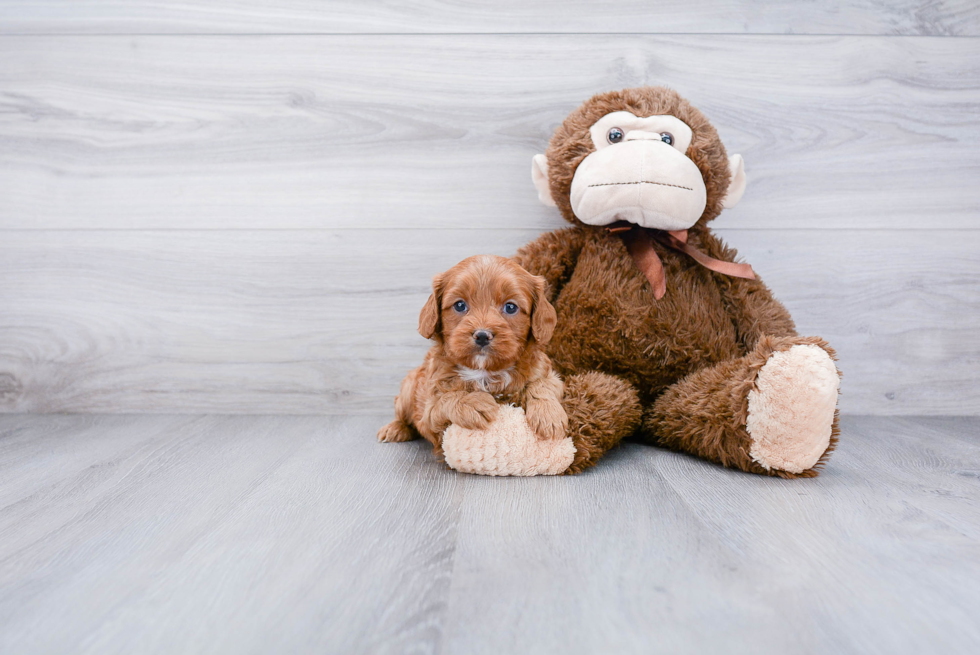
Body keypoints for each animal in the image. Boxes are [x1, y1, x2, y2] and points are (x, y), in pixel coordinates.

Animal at [378, 254, 572, 458]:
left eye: (511, 307)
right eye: (460, 305)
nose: (482, 335)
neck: (484, 371)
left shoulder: (548, 374)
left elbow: (542, 385)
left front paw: (549, 415)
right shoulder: (429, 410)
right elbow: (446, 399)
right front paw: (472, 403)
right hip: (408, 388)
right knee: (402, 413)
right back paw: (394, 428)